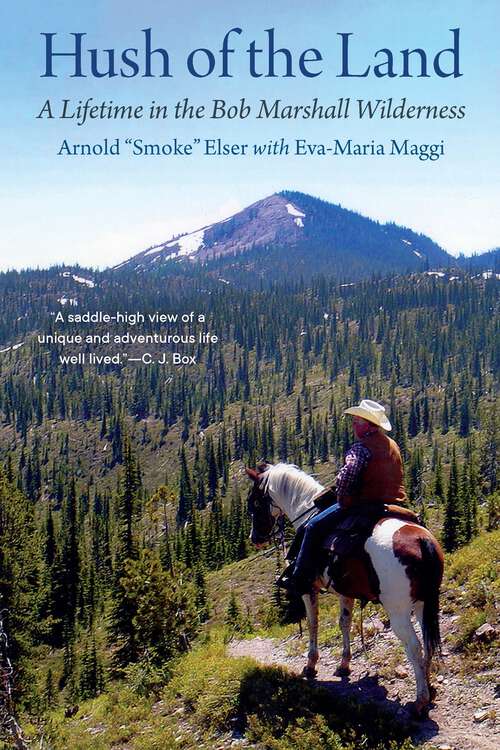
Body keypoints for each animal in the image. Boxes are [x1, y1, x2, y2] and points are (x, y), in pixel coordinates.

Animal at [244, 464, 444, 716]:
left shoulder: (308, 588)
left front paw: (310, 665)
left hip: (398, 612)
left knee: (415, 648)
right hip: (423, 603)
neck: (305, 512)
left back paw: (419, 701)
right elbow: (344, 623)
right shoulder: (345, 592)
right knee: (427, 644)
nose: (255, 538)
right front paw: (344, 665)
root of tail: (421, 541)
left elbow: (313, 623)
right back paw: (429, 687)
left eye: (254, 502)